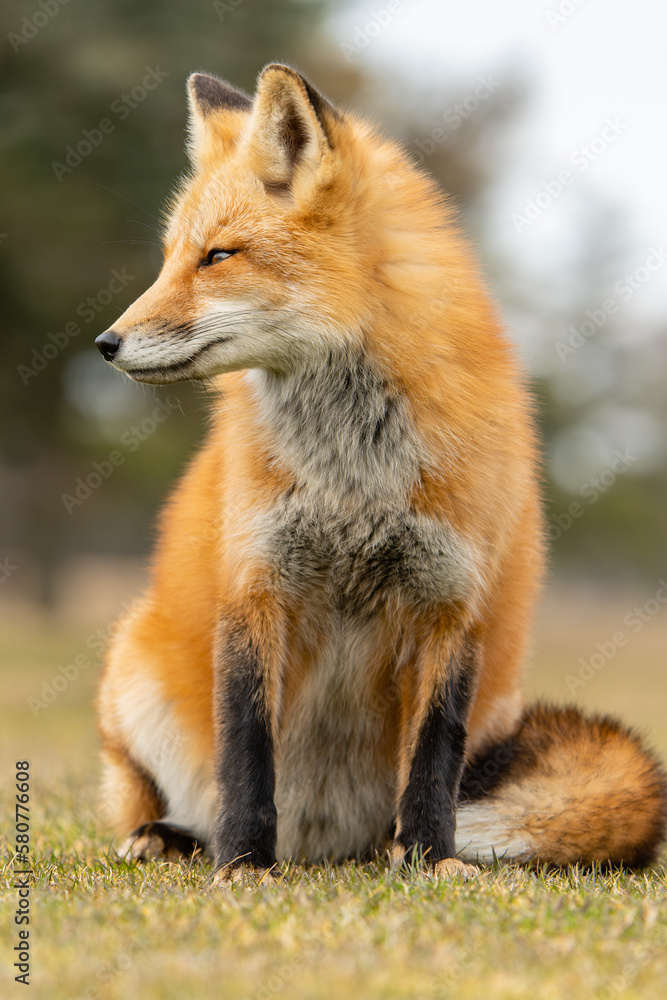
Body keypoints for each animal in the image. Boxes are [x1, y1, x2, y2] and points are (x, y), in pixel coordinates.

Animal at [94, 63, 666, 882]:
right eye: (172, 255)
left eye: (218, 257)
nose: (105, 344)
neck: (352, 479)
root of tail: (324, 847)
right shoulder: (254, 587)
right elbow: (245, 751)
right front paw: (243, 864)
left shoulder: (452, 602)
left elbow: (432, 755)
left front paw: (431, 859)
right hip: (132, 668)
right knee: (162, 794)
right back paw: (172, 838)